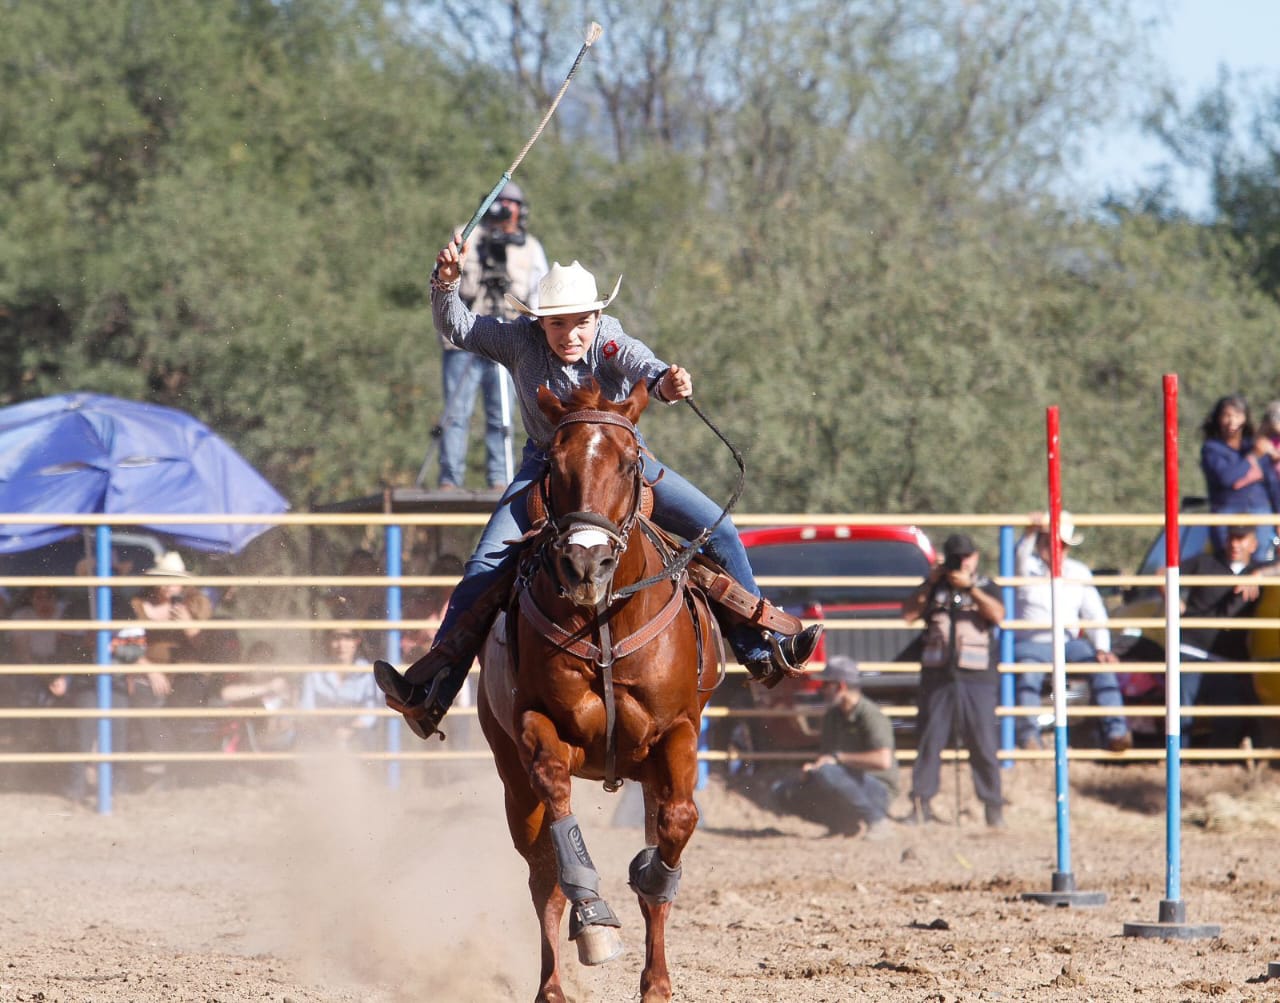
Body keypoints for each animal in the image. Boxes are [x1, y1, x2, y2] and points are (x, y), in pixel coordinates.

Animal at [478, 378, 721, 1002]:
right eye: (553, 463)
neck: (605, 622)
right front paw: (594, 920)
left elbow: (678, 823)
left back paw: (655, 981)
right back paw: (554, 982)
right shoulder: (538, 729)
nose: (586, 563)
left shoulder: (678, 732)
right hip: (509, 776)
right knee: (543, 875)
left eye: (631, 462)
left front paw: (651, 875)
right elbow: (558, 804)